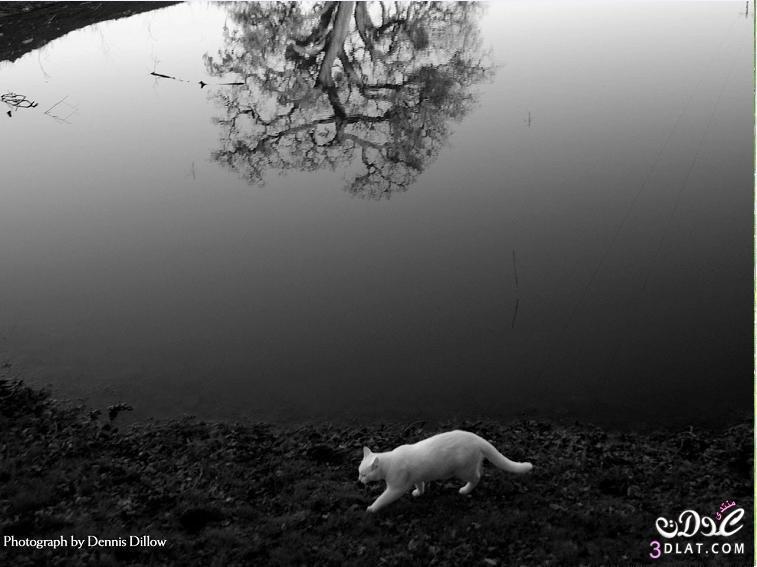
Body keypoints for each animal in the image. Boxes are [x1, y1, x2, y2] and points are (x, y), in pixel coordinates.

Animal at [358, 430, 532, 516]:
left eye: (364, 475)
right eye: (359, 473)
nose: (359, 480)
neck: (389, 461)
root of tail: (476, 438)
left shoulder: (396, 488)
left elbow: (382, 498)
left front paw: (371, 508)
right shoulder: (417, 477)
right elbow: (420, 484)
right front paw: (418, 493)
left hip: (463, 470)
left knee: (477, 477)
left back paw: (465, 490)